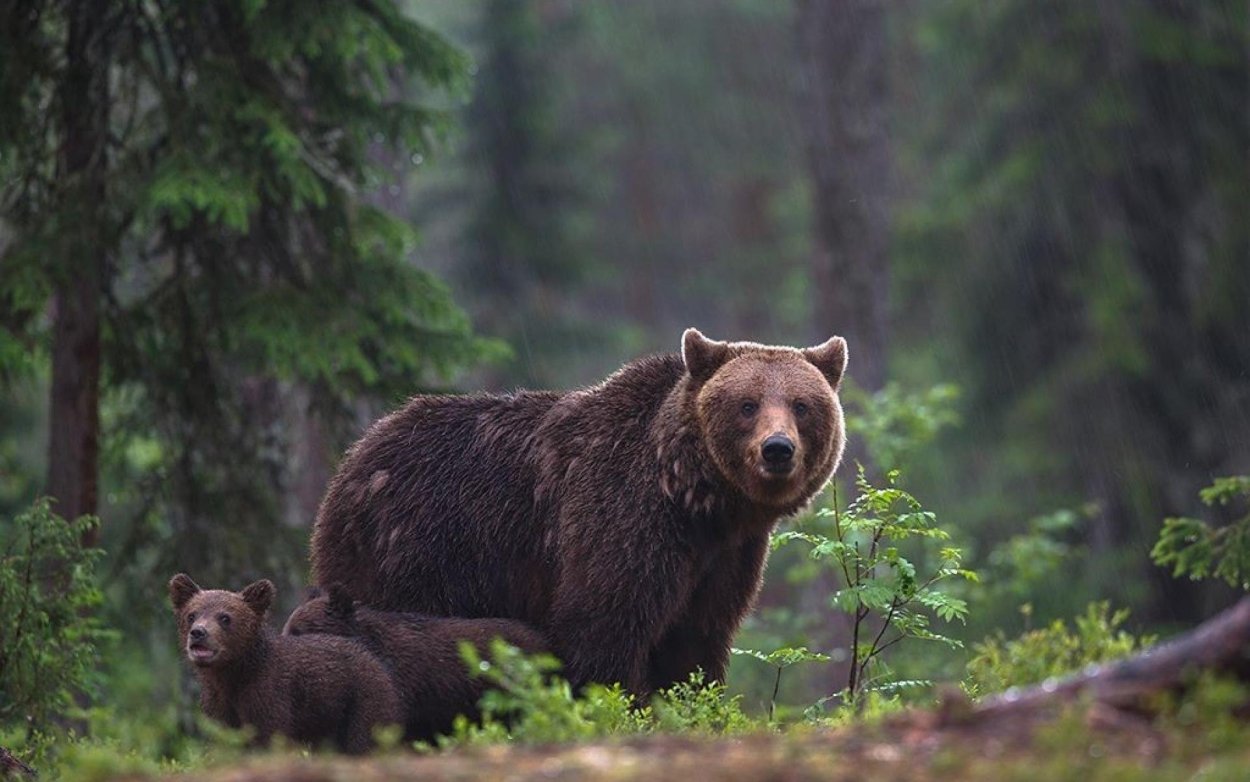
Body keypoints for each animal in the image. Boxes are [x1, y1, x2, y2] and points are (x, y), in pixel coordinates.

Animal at [310, 324, 850, 689]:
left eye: (802, 404)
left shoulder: (724, 557)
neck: (696, 496)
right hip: (417, 549)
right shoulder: (621, 517)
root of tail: (354, 458)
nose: (777, 449)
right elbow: (602, 625)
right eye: (747, 404)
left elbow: (696, 641)